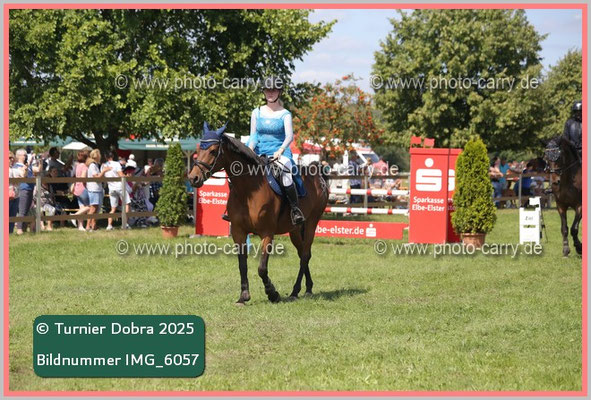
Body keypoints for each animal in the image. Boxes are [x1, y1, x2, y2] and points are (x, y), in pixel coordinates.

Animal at [189, 123, 329, 304]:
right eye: (199, 148)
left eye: (213, 151)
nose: (193, 178)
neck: (248, 191)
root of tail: (317, 175)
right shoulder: (238, 232)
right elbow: (242, 265)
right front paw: (243, 296)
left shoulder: (267, 233)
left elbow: (262, 268)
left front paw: (272, 293)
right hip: (295, 229)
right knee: (302, 254)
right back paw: (307, 288)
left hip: (312, 222)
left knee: (305, 255)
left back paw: (295, 291)